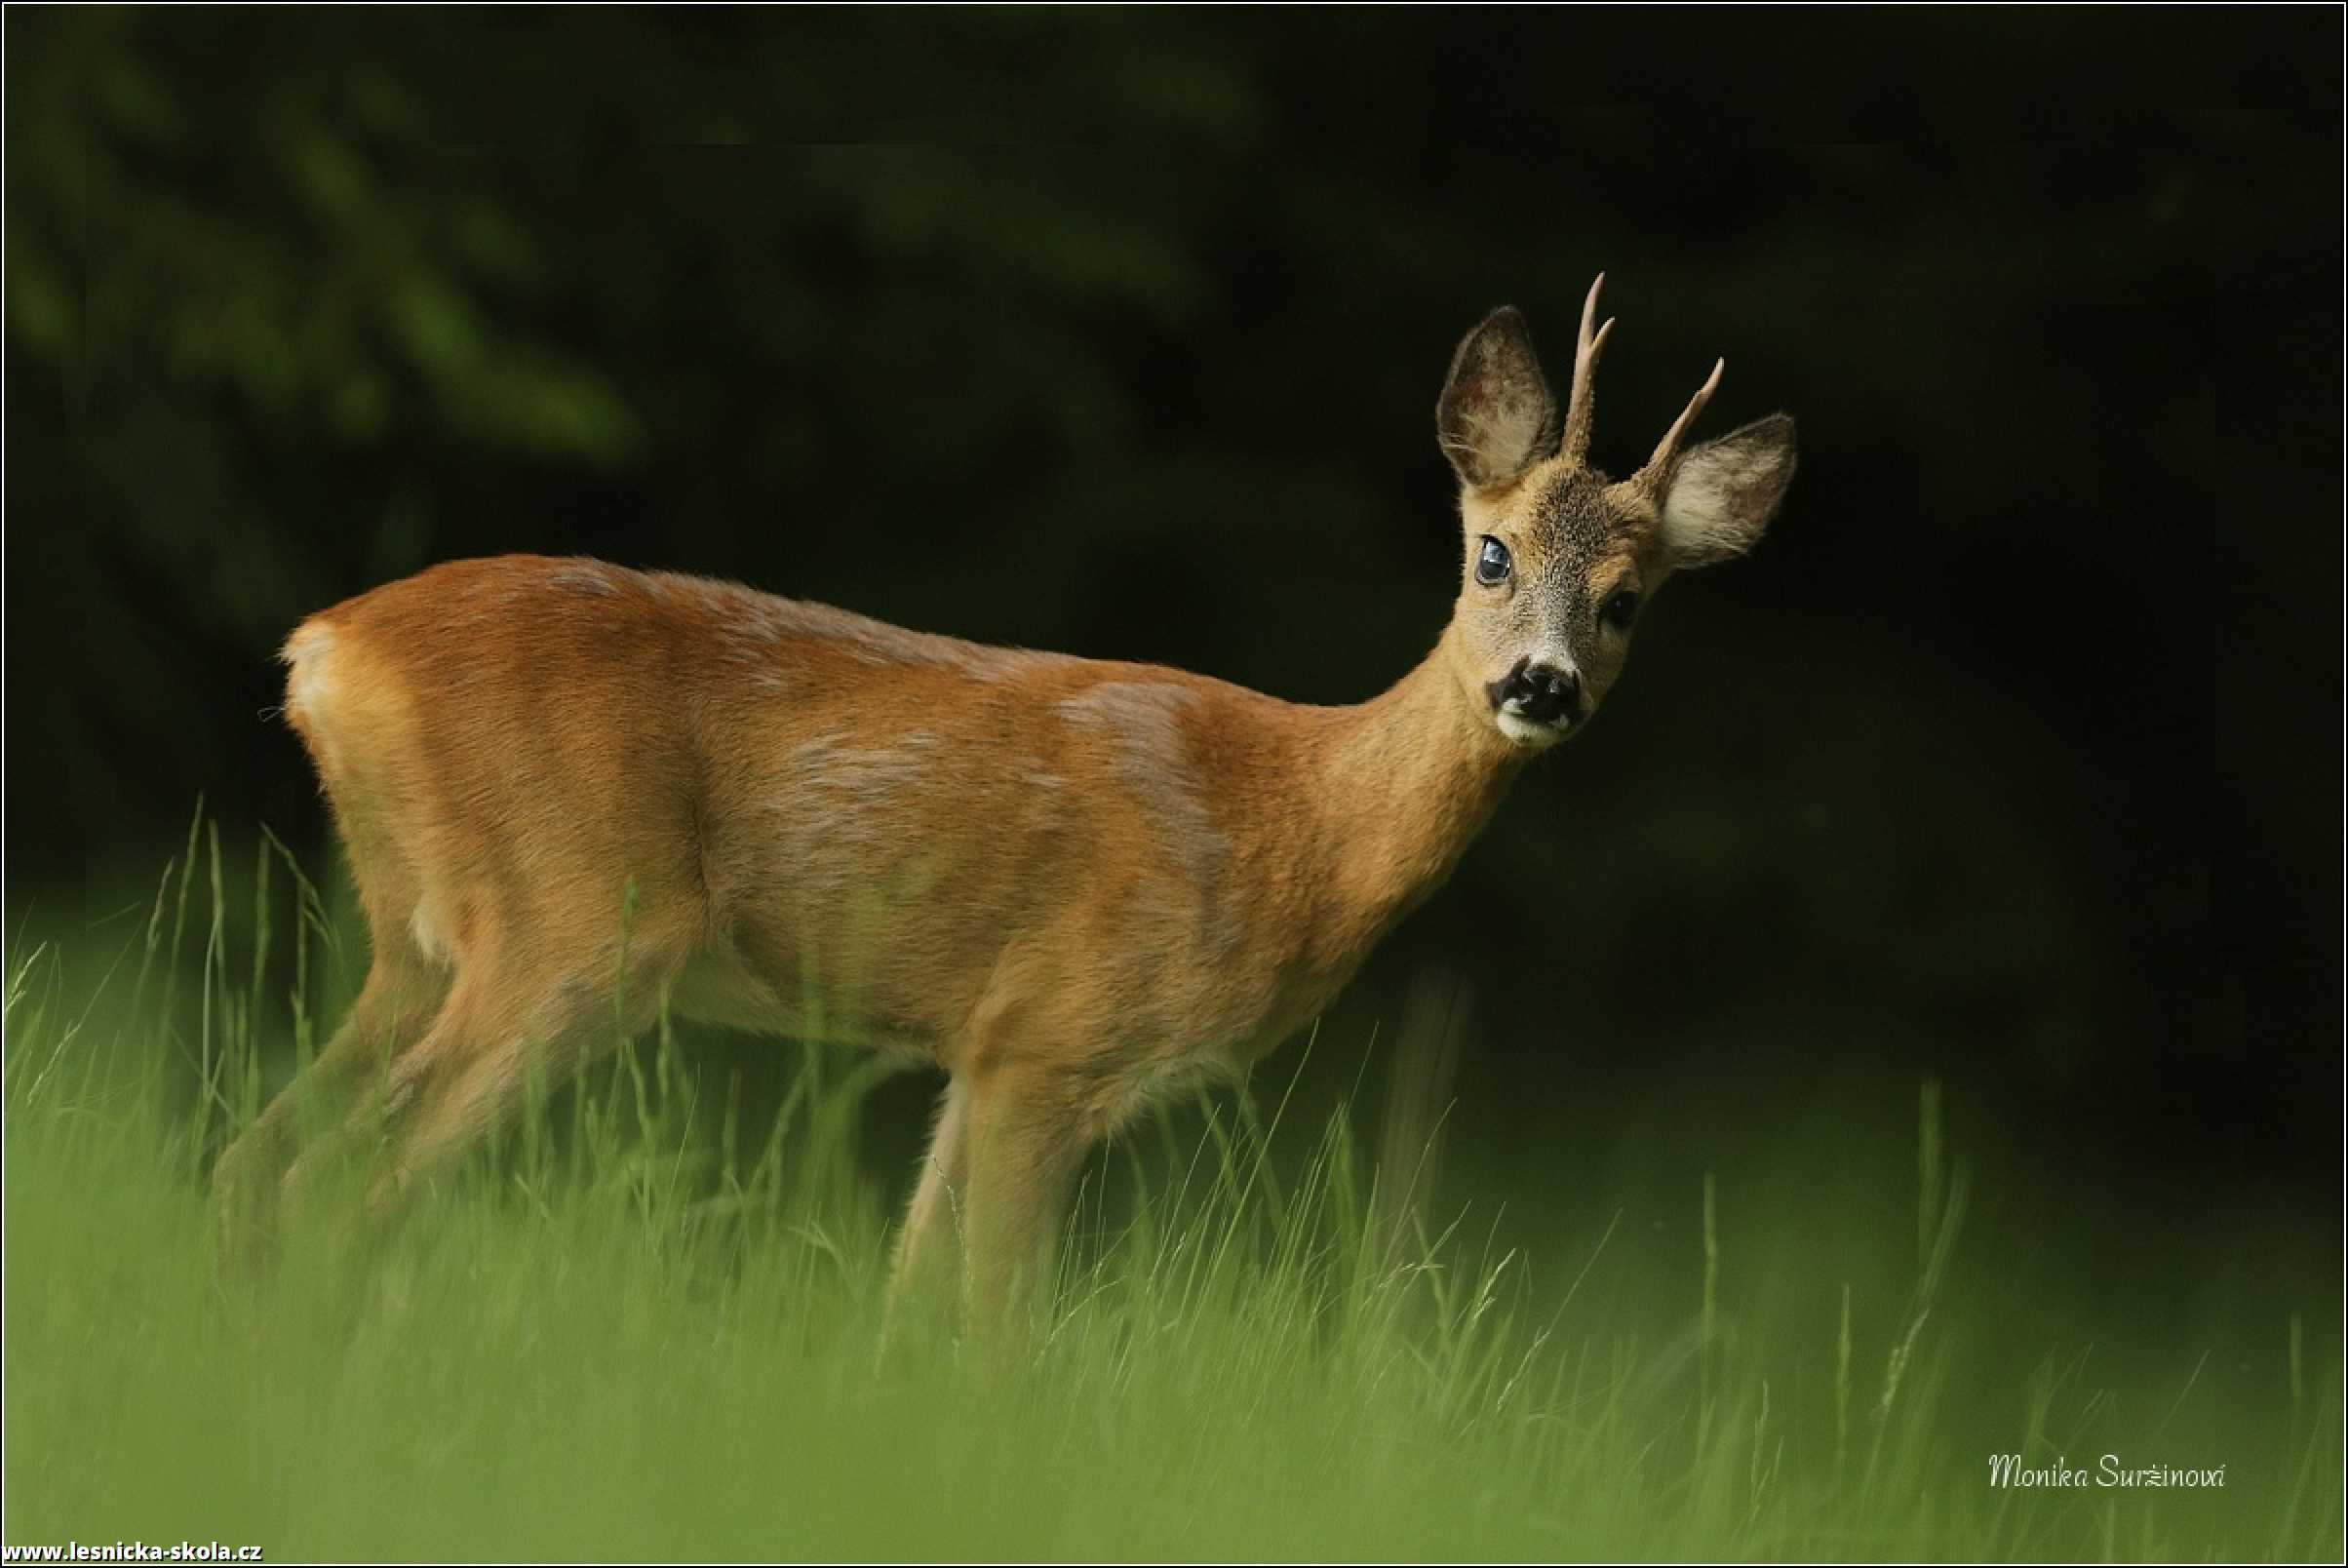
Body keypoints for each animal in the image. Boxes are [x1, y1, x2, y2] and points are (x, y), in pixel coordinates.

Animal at [215, 275, 1793, 1333]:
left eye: (1629, 602)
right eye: (1489, 553)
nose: (1540, 685)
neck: (1294, 826)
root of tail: (325, 651)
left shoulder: (978, 1049)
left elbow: (905, 1300)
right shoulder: (1052, 1037)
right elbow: (992, 1332)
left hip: (416, 938)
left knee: (259, 1149)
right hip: (577, 925)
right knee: (342, 1180)